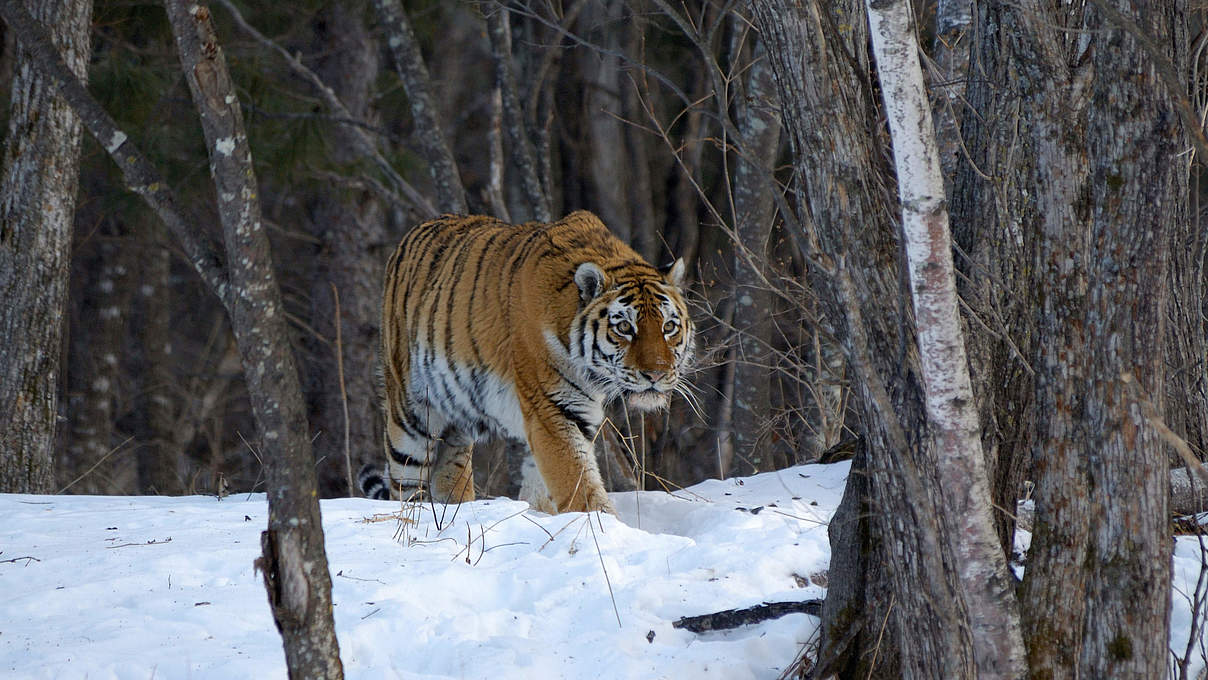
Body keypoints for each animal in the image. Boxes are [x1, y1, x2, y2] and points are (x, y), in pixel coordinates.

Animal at [357, 210, 695, 514]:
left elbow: (544, 488)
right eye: (624, 327)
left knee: (448, 474)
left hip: (455, 422)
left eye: (668, 327)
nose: (656, 374)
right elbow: (578, 484)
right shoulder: (552, 408)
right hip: (410, 417)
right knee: (405, 486)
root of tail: (412, 234)